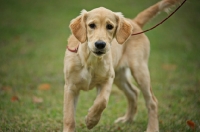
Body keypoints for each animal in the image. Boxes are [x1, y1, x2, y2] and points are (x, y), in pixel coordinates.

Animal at [63, 0, 181, 131]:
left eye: (110, 26)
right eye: (92, 25)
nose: (100, 44)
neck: (90, 60)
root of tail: (135, 22)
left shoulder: (108, 79)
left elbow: (101, 102)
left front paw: (91, 120)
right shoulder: (70, 87)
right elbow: (69, 117)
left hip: (140, 70)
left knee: (152, 101)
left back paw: (152, 128)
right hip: (120, 76)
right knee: (133, 93)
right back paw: (127, 120)